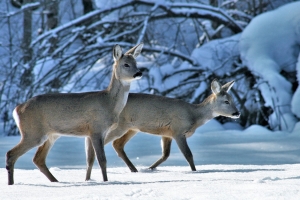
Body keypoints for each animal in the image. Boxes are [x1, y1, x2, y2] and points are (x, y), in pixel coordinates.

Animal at [6, 43, 144, 185]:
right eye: (126, 64)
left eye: (136, 62)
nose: (139, 73)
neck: (108, 103)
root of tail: (17, 109)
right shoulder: (96, 129)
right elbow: (102, 160)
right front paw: (105, 182)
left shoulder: (92, 133)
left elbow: (90, 160)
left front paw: (88, 180)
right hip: (33, 132)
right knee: (11, 154)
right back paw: (11, 184)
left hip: (51, 135)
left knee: (38, 159)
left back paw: (56, 181)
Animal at [85, 78, 240, 180]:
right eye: (226, 101)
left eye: (233, 100)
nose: (237, 113)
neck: (193, 115)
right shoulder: (178, 131)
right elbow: (188, 155)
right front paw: (194, 172)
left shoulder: (167, 133)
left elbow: (165, 155)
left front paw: (150, 168)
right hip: (120, 126)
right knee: (98, 142)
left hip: (132, 128)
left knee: (117, 144)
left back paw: (135, 170)